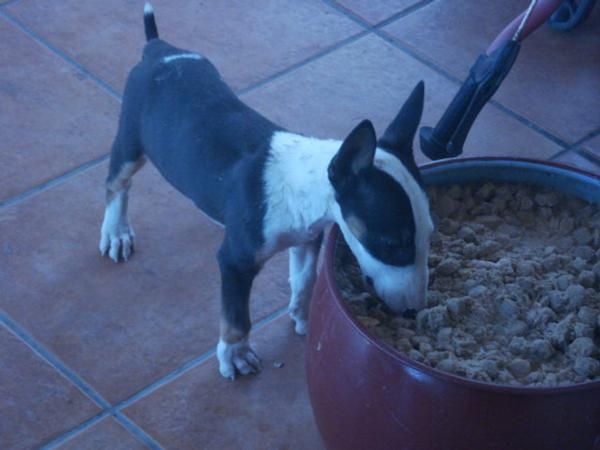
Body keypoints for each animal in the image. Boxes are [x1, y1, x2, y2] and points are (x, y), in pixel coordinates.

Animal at [101, 4, 434, 380]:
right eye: (391, 243)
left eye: (430, 234)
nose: (413, 310)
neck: (306, 185)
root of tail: (159, 49)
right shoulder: (235, 261)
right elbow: (236, 316)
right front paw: (236, 355)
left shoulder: (307, 239)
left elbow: (305, 279)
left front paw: (304, 316)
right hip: (131, 140)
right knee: (116, 183)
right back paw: (116, 232)